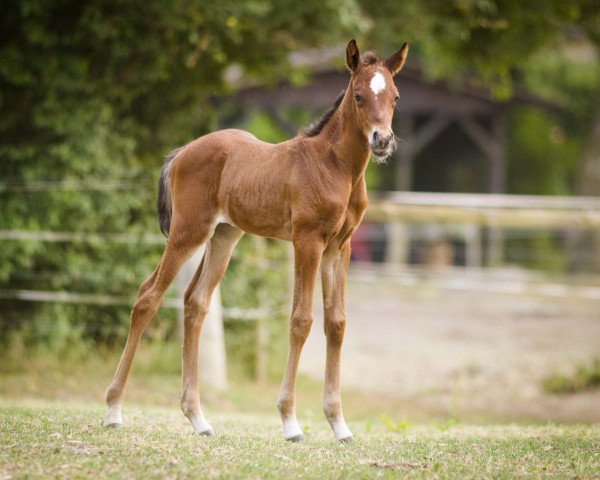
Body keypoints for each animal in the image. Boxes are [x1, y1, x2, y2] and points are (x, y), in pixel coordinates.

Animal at [105, 39, 410, 440]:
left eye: (394, 96)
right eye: (358, 96)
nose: (383, 141)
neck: (334, 167)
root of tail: (182, 152)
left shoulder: (339, 248)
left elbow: (336, 323)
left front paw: (339, 425)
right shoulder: (307, 241)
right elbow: (300, 320)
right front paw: (290, 421)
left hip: (224, 236)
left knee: (195, 302)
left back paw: (198, 418)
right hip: (188, 232)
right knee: (148, 296)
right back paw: (113, 410)